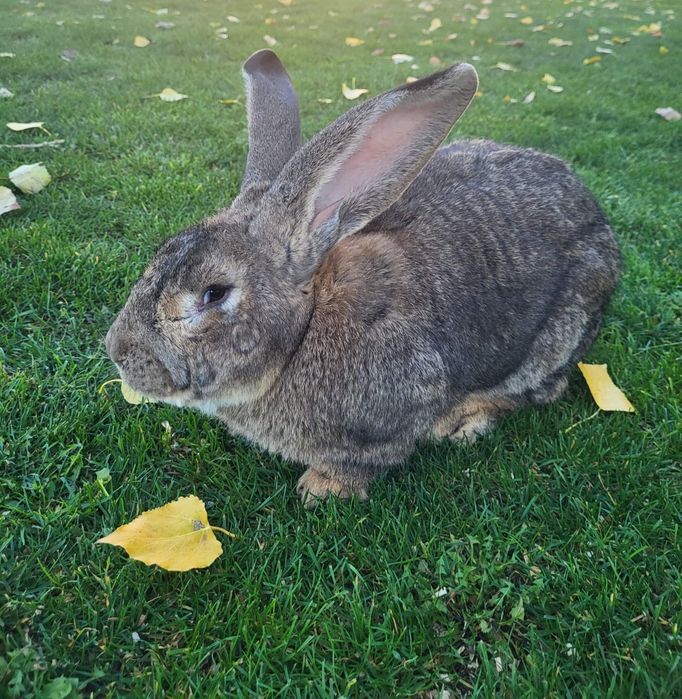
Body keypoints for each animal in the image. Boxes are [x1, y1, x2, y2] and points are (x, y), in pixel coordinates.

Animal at [105, 50, 616, 508]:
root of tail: (598, 219)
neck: (305, 329)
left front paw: (320, 491)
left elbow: (363, 462)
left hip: (557, 335)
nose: (118, 352)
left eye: (214, 293)